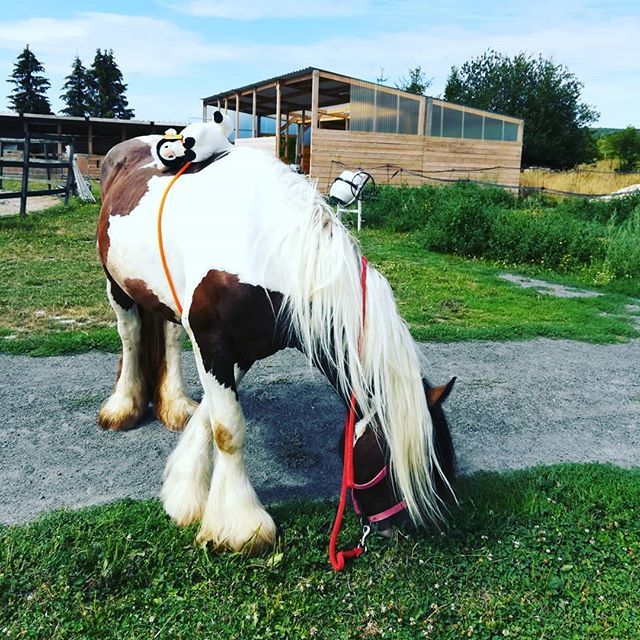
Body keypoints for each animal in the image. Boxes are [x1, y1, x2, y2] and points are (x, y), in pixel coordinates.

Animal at [96, 134, 457, 554]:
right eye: (392, 464)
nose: (395, 528)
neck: (267, 249)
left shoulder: (245, 348)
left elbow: (210, 415)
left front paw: (184, 491)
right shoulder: (212, 341)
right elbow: (227, 429)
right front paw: (240, 527)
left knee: (168, 338)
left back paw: (174, 405)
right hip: (116, 284)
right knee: (130, 335)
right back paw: (122, 407)